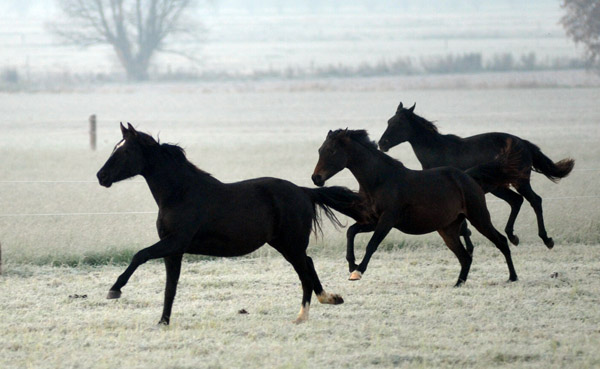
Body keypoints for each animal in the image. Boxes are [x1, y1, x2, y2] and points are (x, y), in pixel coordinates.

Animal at [314, 129, 524, 284]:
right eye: (319, 150)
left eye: (332, 151)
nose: (316, 178)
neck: (380, 180)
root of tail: (468, 177)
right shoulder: (373, 220)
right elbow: (351, 231)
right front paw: (351, 265)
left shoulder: (387, 220)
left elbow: (372, 244)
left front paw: (357, 272)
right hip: (448, 229)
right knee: (465, 256)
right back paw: (458, 283)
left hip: (478, 217)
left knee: (500, 241)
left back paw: (513, 276)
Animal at [378, 102, 576, 249]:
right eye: (388, 121)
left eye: (398, 123)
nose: (382, 144)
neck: (438, 151)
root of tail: (523, 143)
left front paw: (469, 246)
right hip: (498, 186)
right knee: (516, 201)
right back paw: (512, 236)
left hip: (519, 181)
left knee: (535, 201)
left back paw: (546, 239)